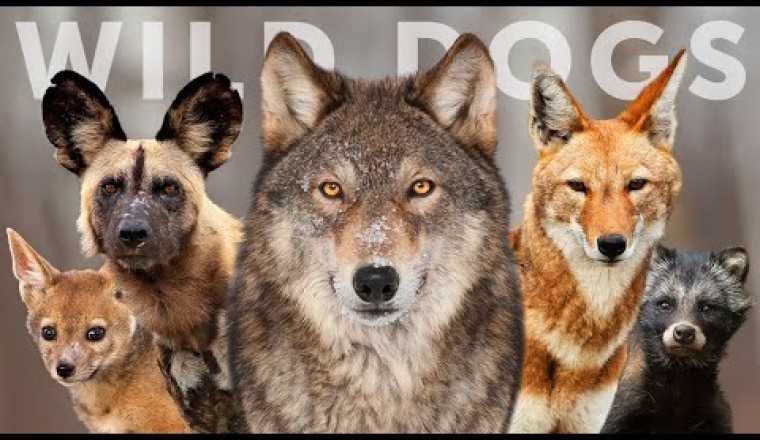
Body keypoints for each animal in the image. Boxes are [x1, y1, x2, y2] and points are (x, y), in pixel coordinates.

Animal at [602, 245, 752, 433]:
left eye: (706, 307)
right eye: (665, 304)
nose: (684, 332)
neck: (679, 373)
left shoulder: (713, 415)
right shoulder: (617, 410)